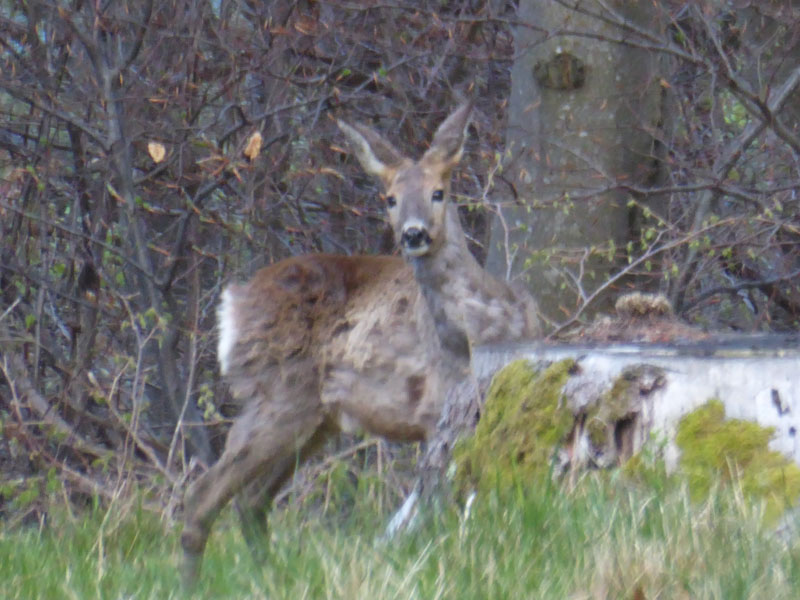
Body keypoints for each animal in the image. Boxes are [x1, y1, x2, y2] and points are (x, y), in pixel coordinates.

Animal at [180, 104, 540, 584]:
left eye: (439, 192)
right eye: (390, 198)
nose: (413, 234)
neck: (484, 327)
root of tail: (232, 303)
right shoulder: (436, 411)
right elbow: (433, 506)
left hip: (316, 419)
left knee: (251, 499)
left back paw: (273, 577)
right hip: (278, 396)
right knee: (206, 494)